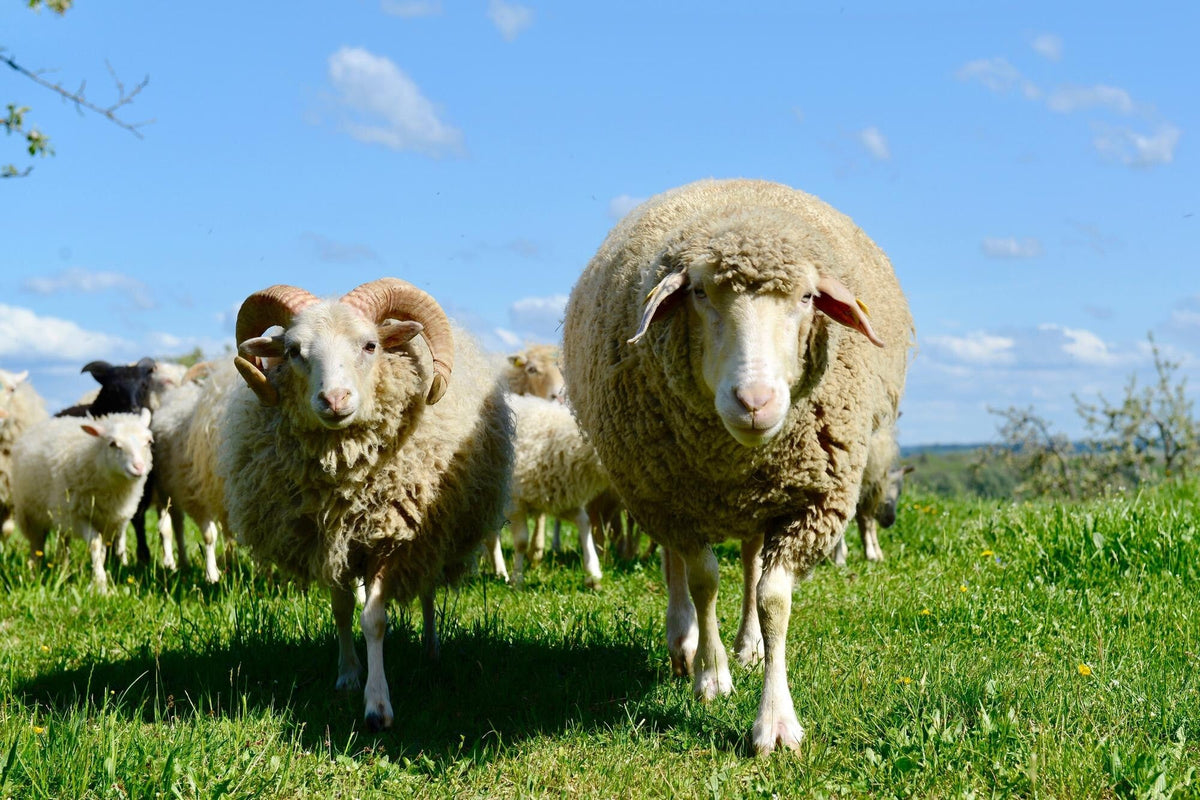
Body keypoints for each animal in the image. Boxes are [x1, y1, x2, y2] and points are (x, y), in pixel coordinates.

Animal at [11, 409, 154, 592]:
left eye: (149, 442)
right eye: (113, 443)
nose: (139, 468)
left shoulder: (109, 521)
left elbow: (102, 551)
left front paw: (99, 579)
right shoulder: (77, 516)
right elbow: (95, 544)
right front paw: (100, 585)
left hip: (61, 516)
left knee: (63, 544)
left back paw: (62, 571)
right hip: (31, 515)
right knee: (37, 546)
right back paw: (34, 574)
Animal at [218, 278, 513, 730]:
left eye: (370, 345)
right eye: (293, 351)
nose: (334, 399)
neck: (345, 482)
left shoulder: (391, 539)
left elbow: (374, 620)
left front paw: (377, 705)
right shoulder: (329, 542)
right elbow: (342, 611)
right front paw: (348, 675)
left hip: (432, 533)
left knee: (427, 589)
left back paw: (431, 651)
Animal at [561, 178, 913, 755]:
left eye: (808, 297)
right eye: (700, 294)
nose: (754, 401)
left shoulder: (809, 504)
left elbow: (772, 599)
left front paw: (775, 720)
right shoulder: (671, 502)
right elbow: (704, 580)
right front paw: (711, 675)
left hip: (756, 501)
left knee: (750, 563)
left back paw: (748, 644)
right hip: (659, 490)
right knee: (675, 567)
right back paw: (683, 640)